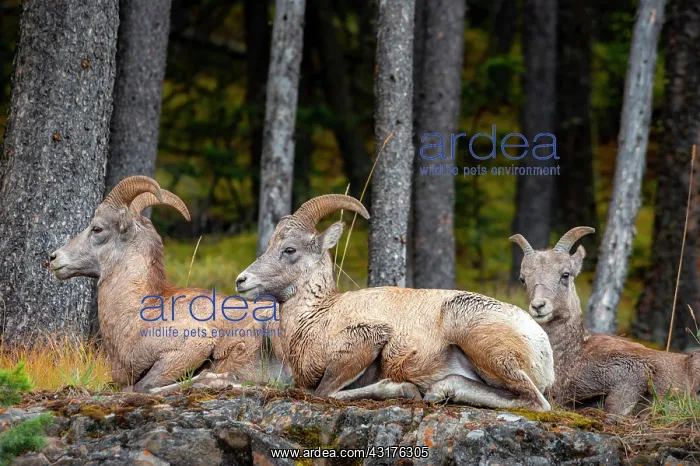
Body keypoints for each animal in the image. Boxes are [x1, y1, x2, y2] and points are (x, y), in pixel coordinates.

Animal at [235, 194, 555, 410]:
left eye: (289, 249)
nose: (242, 280)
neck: (314, 317)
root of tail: (541, 345)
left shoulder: (366, 341)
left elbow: (324, 393)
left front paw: (401, 389)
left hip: (484, 347)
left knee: (535, 401)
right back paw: (438, 391)